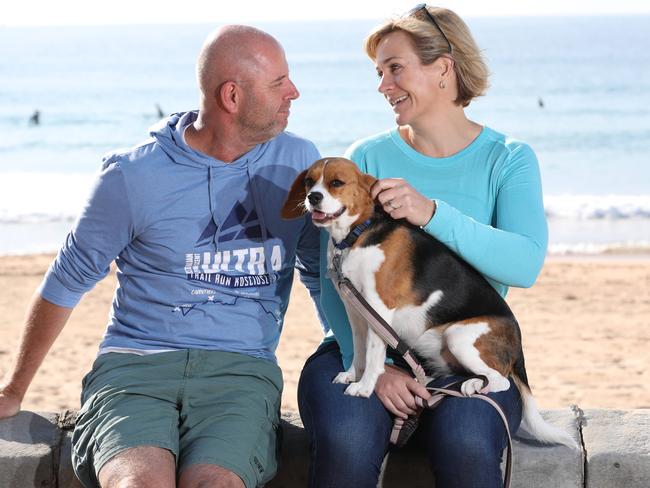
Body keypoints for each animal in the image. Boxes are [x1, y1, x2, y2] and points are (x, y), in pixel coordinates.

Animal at [280, 158, 576, 448]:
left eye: (337, 183)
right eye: (309, 181)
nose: (313, 197)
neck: (358, 235)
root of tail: (517, 343)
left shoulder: (378, 309)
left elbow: (374, 356)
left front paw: (364, 387)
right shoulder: (354, 310)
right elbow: (359, 349)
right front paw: (353, 374)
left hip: (458, 336)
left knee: (500, 380)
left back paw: (473, 386)